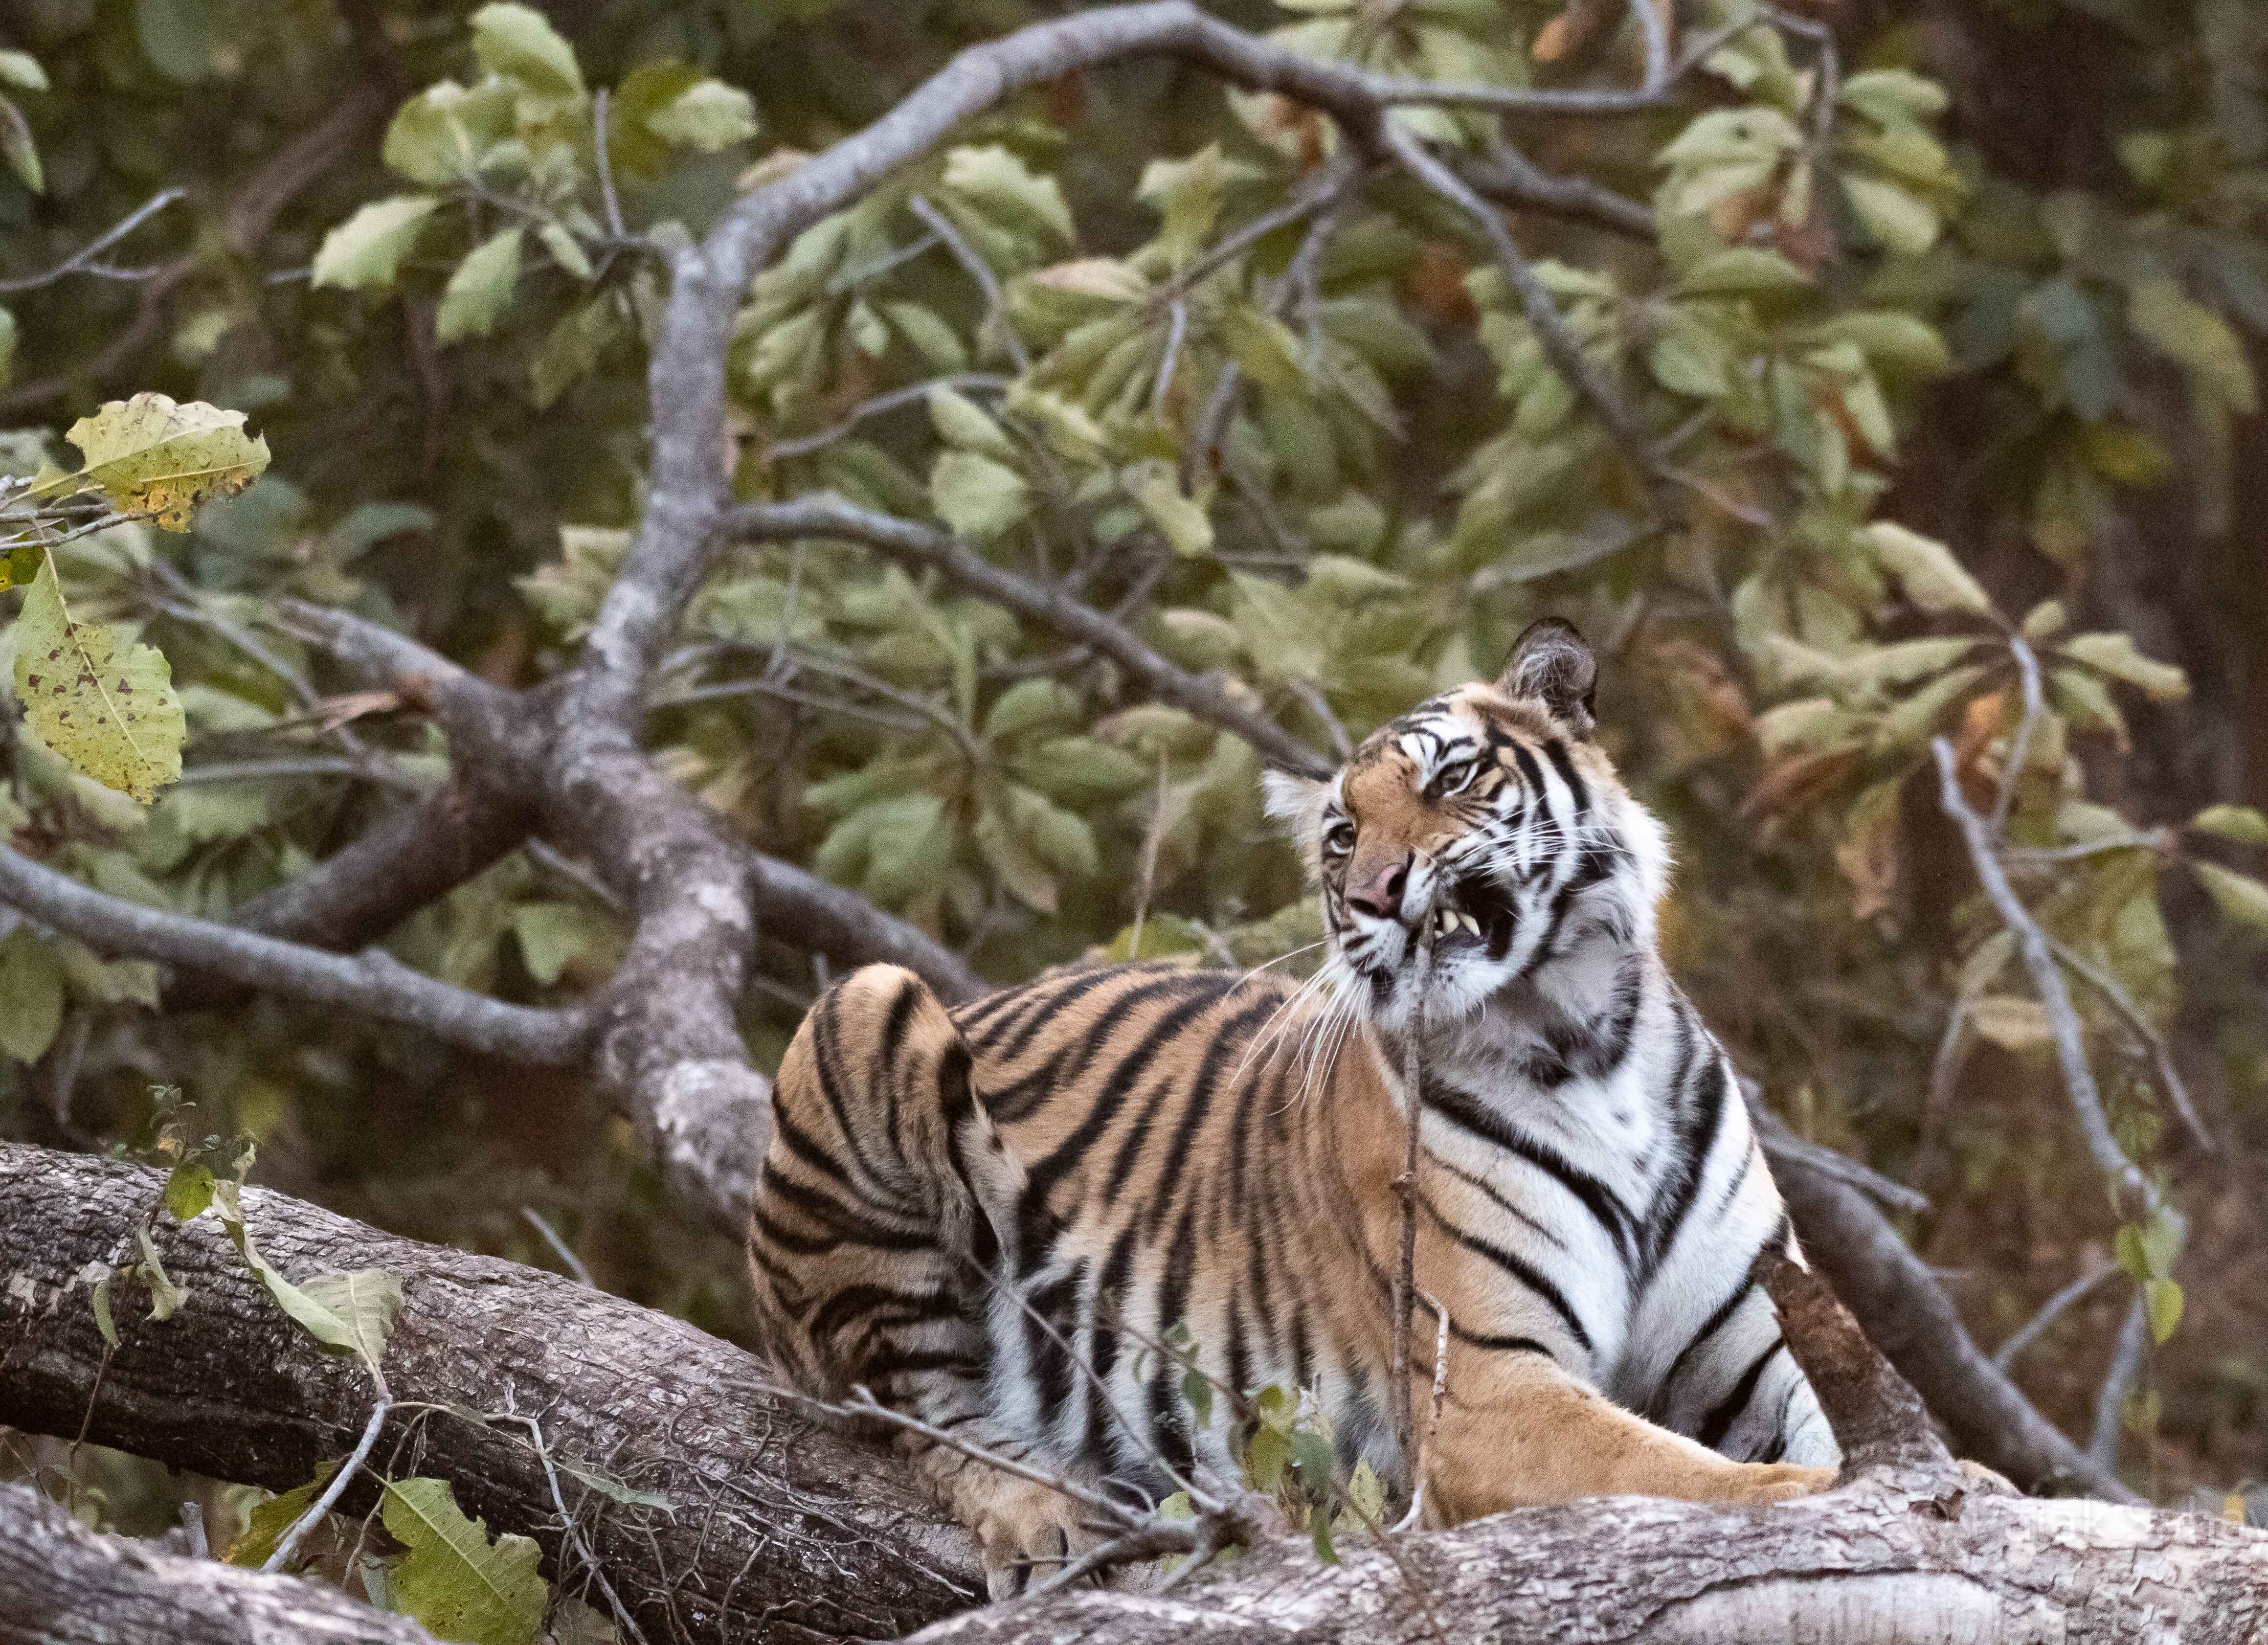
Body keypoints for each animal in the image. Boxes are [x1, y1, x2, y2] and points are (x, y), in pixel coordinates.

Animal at [746, 618, 1838, 1597]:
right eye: (1342, 836)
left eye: (1449, 779)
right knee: (912, 1403)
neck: (1582, 1041)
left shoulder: (1758, 1343)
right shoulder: (1486, 1390)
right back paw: (1044, 1515)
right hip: (865, 1008)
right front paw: (1808, 1495)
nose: (1375, 892)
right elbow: (1675, 1469)